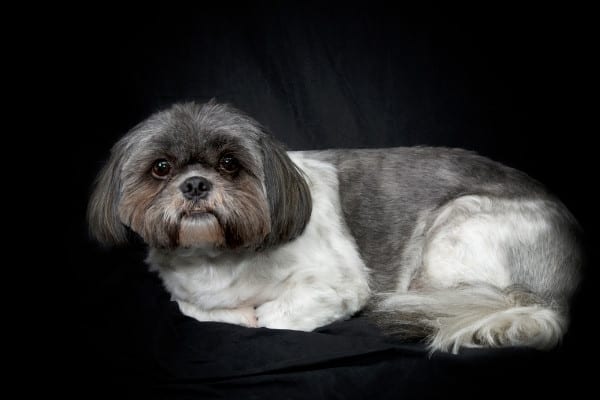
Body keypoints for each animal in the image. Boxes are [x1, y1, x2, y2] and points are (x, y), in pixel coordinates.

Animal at [88, 100, 580, 354]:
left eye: (229, 164)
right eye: (161, 168)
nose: (194, 183)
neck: (218, 256)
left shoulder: (338, 283)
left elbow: (270, 319)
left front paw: (253, 315)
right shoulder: (186, 293)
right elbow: (191, 306)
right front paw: (231, 312)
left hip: (456, 227)